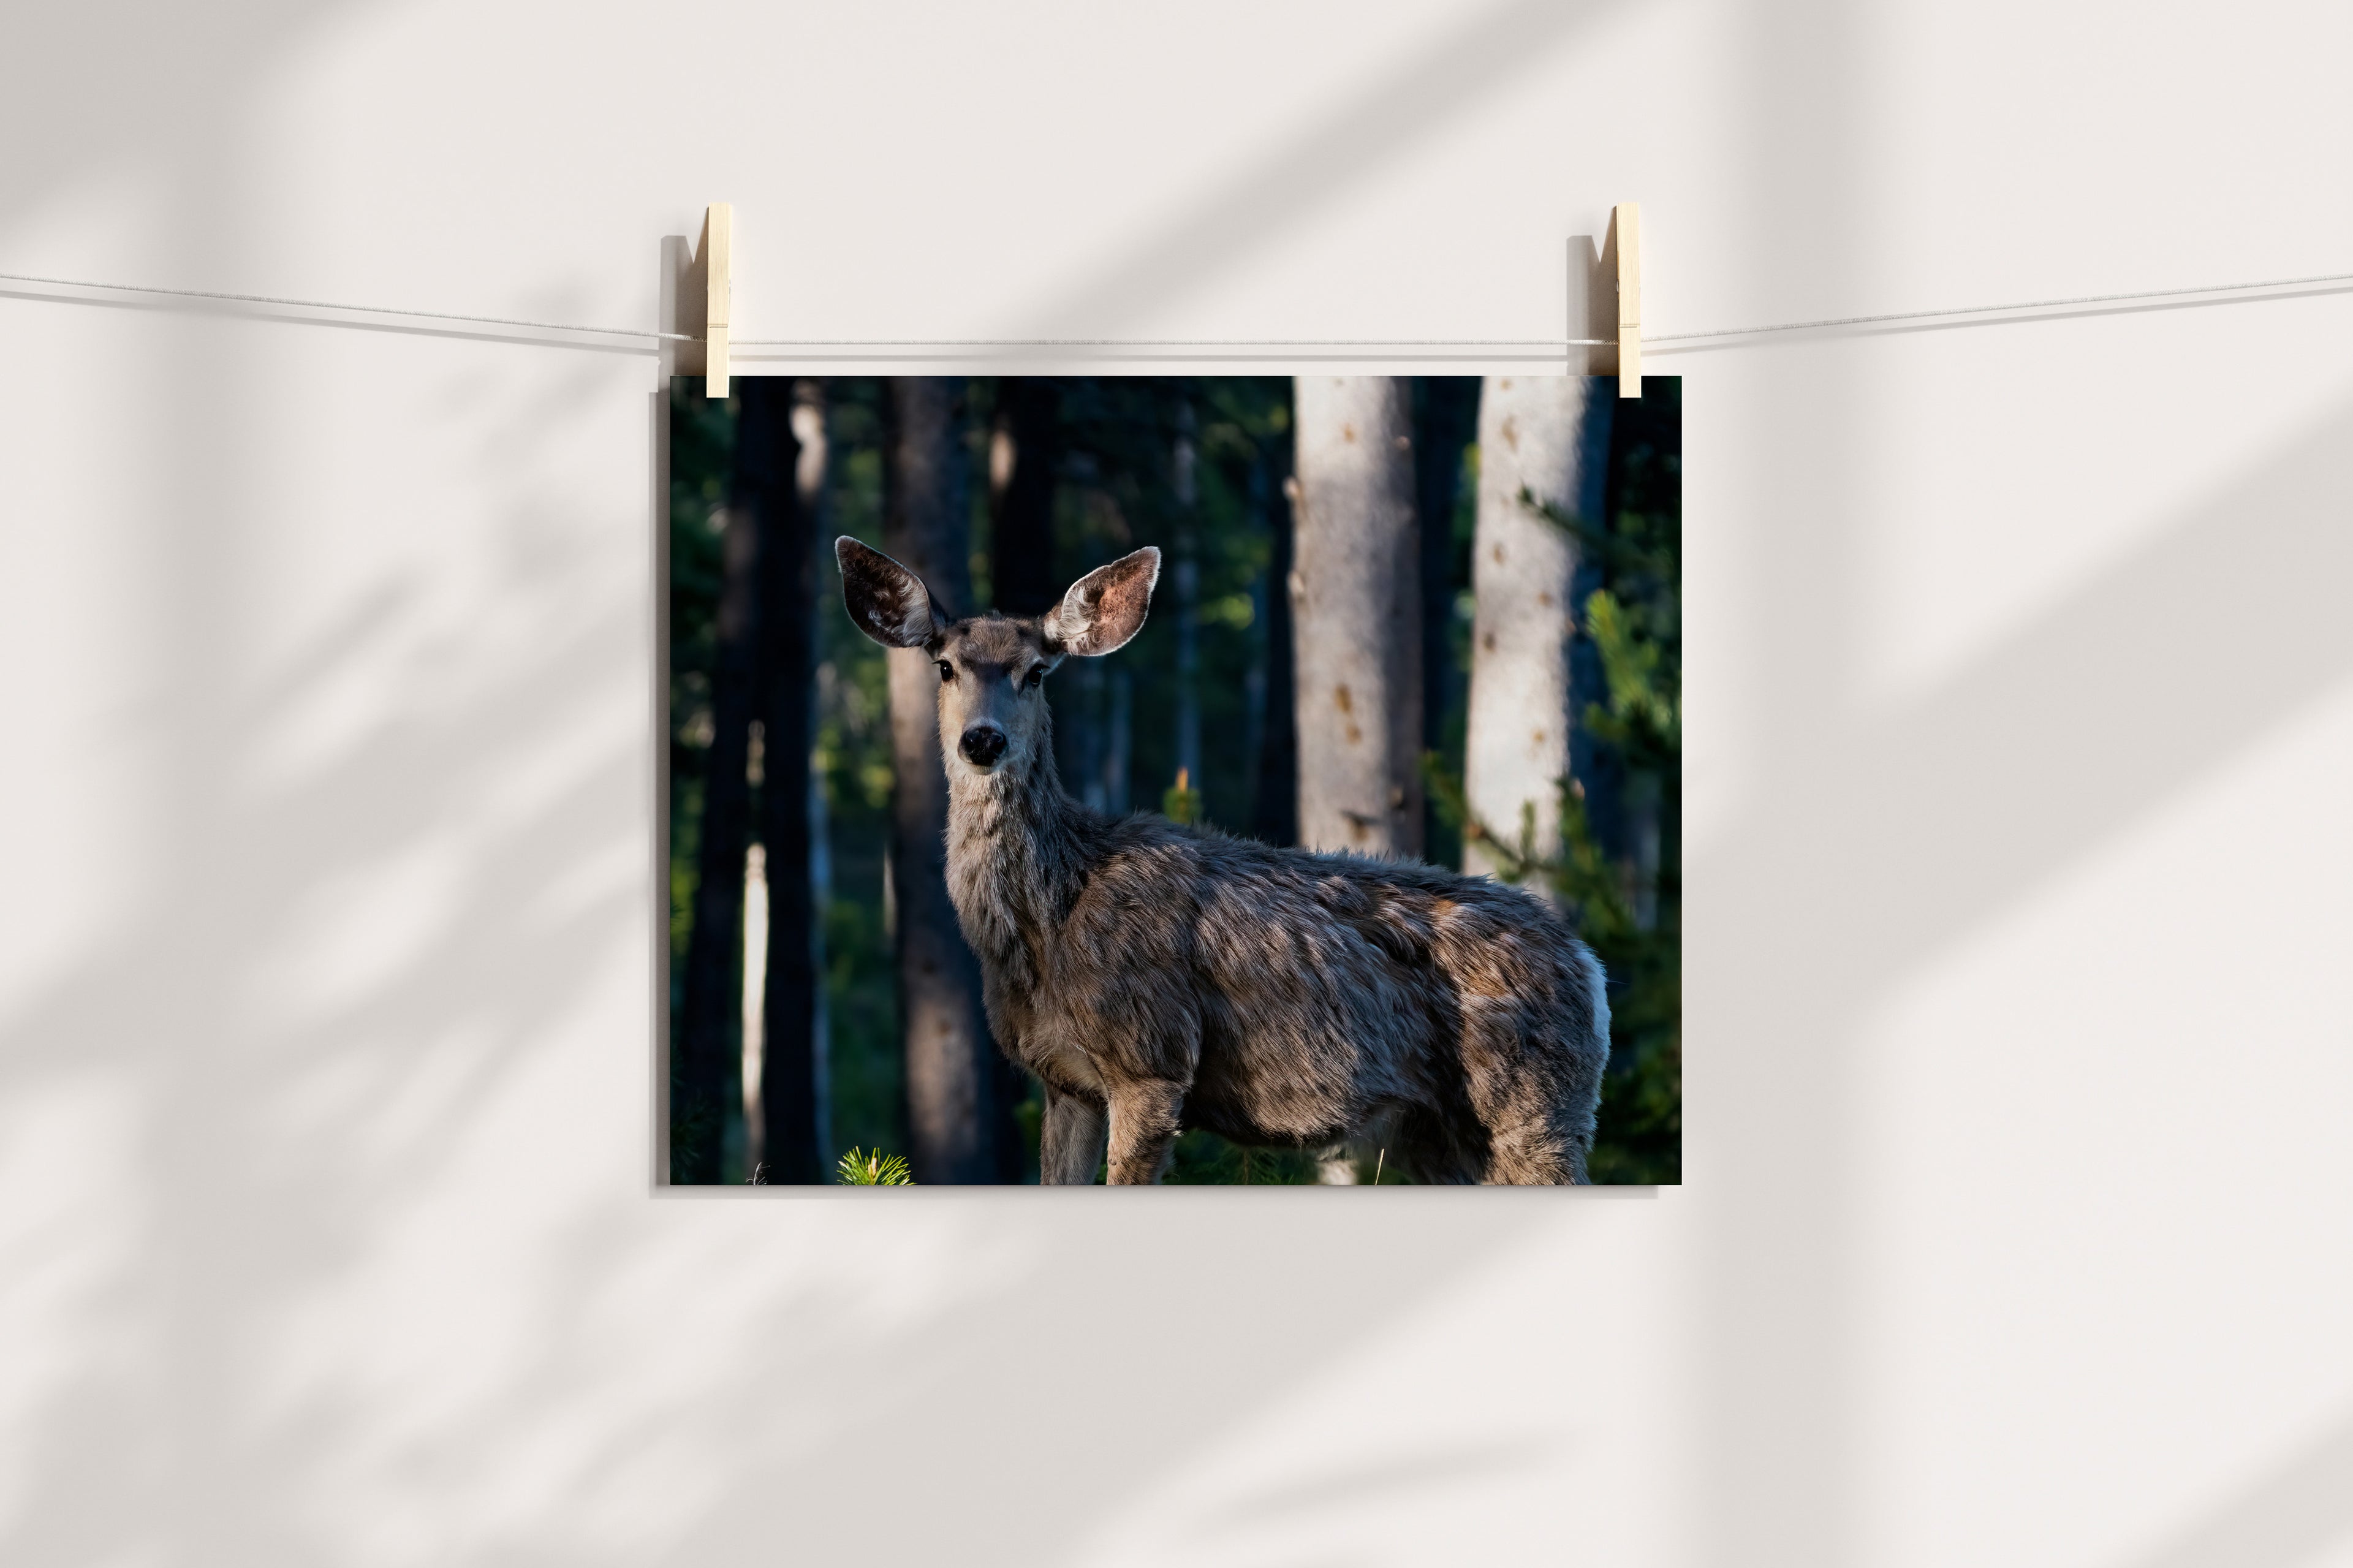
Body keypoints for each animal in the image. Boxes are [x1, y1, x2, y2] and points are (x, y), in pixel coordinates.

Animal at [836, 536, 1611, 1185]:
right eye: (945, 667)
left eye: (1035, 672)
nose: (983, 740)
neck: (1045, 923)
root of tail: (1591, 967)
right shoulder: (1063, 1082)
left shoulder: (1153, 1059)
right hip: (1435, 1132)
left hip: (1536, 1107)